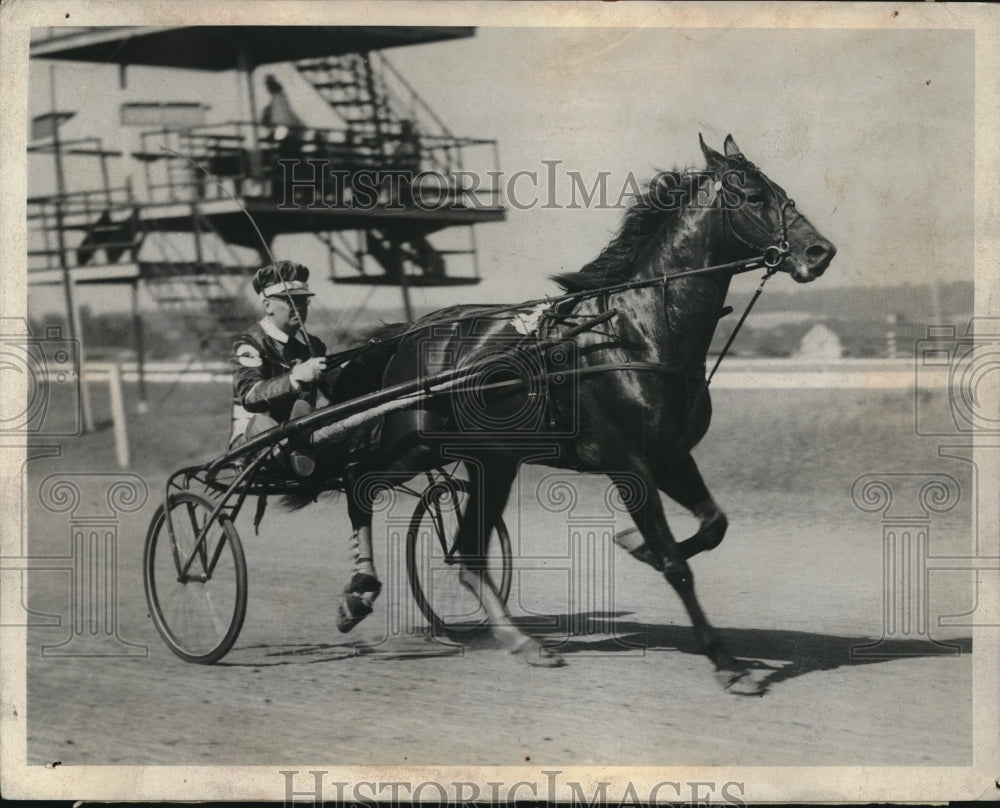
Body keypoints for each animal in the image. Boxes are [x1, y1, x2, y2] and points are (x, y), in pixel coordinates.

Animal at [306, 134, 836, 696]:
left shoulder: (671, 458)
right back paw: (358, 593)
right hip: (414, 443)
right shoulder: (629, 465)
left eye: (781, 191)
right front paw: (727, 663)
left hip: (491, 459)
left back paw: (522, 641)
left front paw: (635, 545)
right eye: (754, 196)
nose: (820, 252)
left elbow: (714, 525)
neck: (636, 333)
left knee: (468, 552)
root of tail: (411, 331)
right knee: (358, 481)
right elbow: (676, 564)